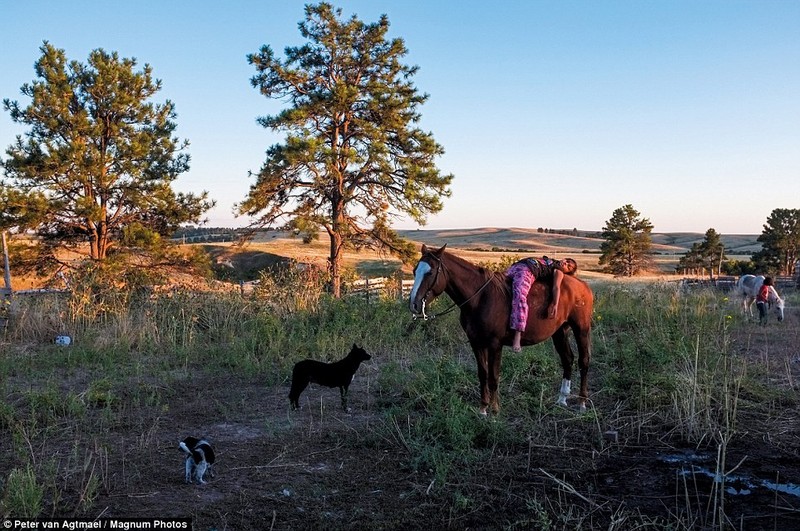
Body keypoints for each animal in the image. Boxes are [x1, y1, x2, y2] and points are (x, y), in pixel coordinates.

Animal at [410, 245, 592, 416]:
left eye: (430, 272)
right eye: (415, 271)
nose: (414, 304)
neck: (480, 298)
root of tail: (582, 285)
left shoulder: (495, 345)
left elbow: (493, 377)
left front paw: (495, 410)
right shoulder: (476, 343)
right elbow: (482, 375)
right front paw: (483, 409)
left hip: (581, 329)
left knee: (583, 361)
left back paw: (582, 403)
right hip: (560, 332)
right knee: (567, 359)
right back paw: (562, 399)